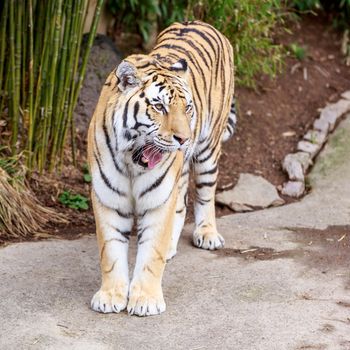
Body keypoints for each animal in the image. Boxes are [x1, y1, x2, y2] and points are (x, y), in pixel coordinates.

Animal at [87, 19, 238, 318]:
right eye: (159, 106)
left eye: (187, 107)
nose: (184, 139)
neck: (131, 158)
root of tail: (200, 21)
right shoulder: (108, 199)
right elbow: (110, 252)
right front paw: (110, 296)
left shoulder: (158, 199)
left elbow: (150, 255)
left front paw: (145, 300)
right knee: (180, 201)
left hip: (208, 151)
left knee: (205, 194)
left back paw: (207, 234)